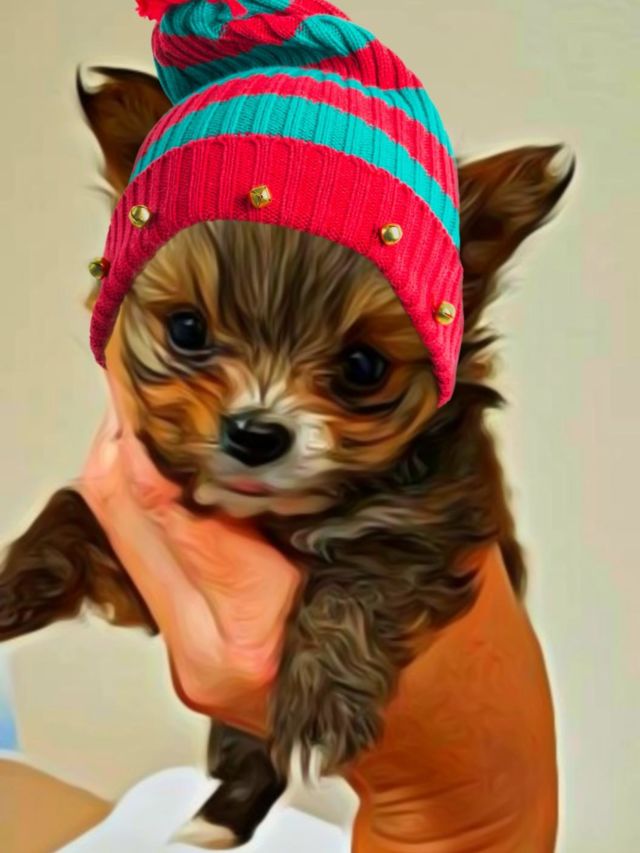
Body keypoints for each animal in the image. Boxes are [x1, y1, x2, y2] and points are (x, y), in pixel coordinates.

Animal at [0, 66, 574, 845]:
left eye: (363, 367)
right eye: (187, 329)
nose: (255, 433)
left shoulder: (437, 517)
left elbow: (364, 577)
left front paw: (322, 695)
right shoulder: (140, 575)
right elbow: (73, 507)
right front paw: (15, 581)